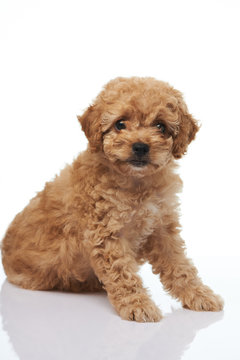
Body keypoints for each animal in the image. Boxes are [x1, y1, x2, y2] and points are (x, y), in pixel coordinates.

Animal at [0, 77, 224, 322]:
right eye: (120, 124)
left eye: (160, 126)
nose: (140, 147)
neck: (136, 182)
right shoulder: (105, 233)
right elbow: (122, 274)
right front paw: (138, 305)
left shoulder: (162, 228)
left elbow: (180, 265)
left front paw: (200, 295)